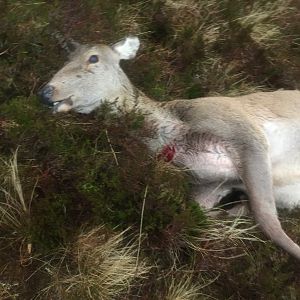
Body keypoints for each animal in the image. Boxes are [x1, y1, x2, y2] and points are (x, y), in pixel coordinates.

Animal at [39, 35, 300, 260]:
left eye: (93, 57)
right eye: (67, 57)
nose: (45, 92)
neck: (175, 137)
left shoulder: (245, 133)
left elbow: (268, 220)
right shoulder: (212, 183)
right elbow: (205, 216)